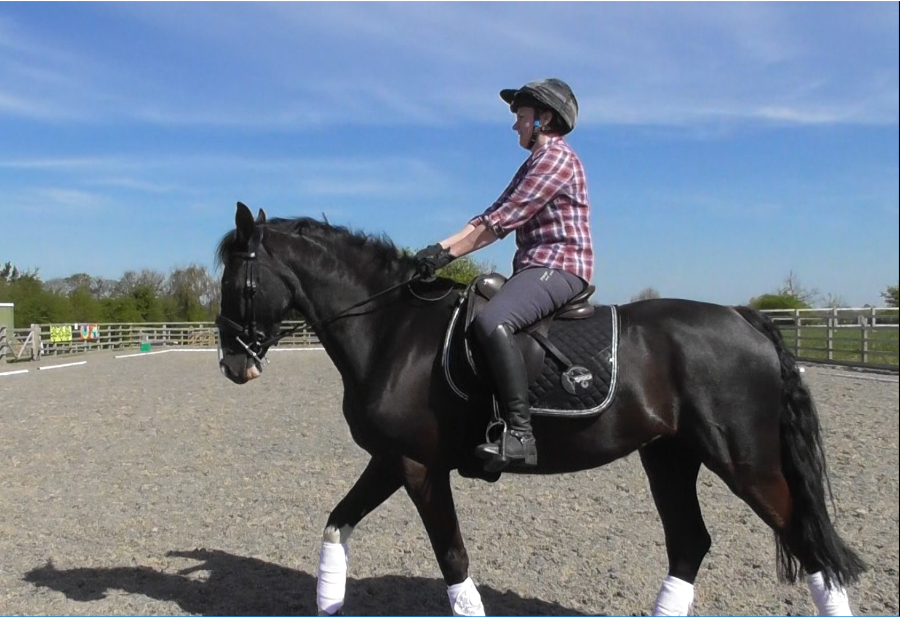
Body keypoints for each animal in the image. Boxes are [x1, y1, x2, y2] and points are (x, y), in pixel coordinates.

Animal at [214, 202, 865, 616]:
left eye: (238, 281)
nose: (233, 364)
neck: (393, 330)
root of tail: (743, 317)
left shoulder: (419, 467)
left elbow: (453, 558)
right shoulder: (392, 460)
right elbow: (337, 523)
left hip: (745, 462)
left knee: (805, 543)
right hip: (670, 456)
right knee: (690, 544)